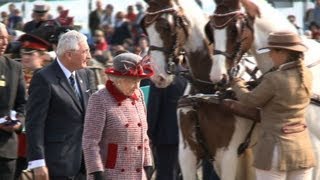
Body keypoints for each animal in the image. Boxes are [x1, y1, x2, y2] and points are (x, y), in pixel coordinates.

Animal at [142, 0, 260, 179]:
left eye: (166, 27)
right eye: (145, 27)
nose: (158, 76)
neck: (207, 93)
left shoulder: (229, 154)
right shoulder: (187, 152)